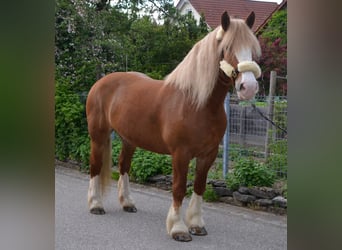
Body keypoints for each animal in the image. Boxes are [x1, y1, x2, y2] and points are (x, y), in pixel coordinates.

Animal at [87, 11, 260, 242]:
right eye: (228, 48)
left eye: (252, 48)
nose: (248, 87)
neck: (197, 104)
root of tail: (100, 83)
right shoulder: (180, 153)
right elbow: (178, 188)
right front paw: (178, 229)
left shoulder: (209, 154)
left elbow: (199, 186)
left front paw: (196, 225)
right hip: (98, 137)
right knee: (95, 167)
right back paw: (96, 205)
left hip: (129, 140)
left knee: (124, 166)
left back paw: (127, 203)